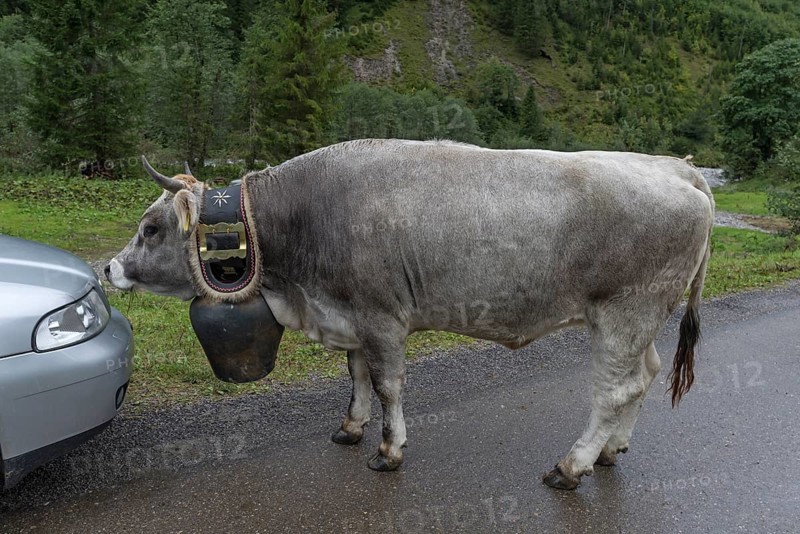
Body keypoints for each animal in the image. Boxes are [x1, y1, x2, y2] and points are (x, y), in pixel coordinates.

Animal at [106, 139, 714, 490]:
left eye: (151, 228)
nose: (110, 268)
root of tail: (680, 170)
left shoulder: (382, 318)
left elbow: (387, 385)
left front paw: (388, 449)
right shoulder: (348, 314)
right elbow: (355, 377)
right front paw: (351, 428)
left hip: (624, 313)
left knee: (614, 390)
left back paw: (573, 465)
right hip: (640, 321)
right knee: (643, 377)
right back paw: (611, 450)